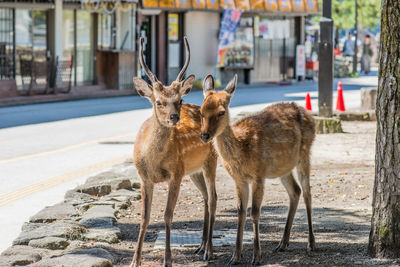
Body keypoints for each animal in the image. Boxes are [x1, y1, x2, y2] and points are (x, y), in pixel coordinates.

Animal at [130, 38, 219, 267]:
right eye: (158, 101)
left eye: (179, 100)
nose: (174, 117)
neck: (152, 161)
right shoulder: (144, 178)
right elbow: (144, 218)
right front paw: (135, 260)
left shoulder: (176, 175)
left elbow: (167, 215)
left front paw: (167, 260)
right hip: (194, 170)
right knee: (205, 197)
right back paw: (201, 246)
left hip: (211, 161)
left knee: (213, 197)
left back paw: (209, 251)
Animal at [199, 75, 316, 266]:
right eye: (201, 111)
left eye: (221, 112)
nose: (204, 135)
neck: (243, 148)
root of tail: (308, 114)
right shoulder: (239, 179)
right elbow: (240, 211)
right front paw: (235, 257)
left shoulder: (259, 175)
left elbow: (254, 212)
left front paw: (256, 257)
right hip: (283, 167)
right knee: (295, 191)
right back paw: (282, 243)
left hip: (305, 153)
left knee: (307, 193)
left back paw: (311, 243)